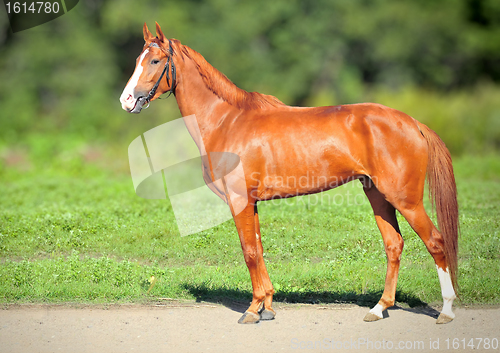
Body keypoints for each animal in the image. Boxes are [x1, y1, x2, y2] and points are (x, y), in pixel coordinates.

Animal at [120, 22, 458, 324]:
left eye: (155, 60)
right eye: (137, 60)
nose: (126, 100)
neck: (227, 121)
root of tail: (412, 123)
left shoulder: (240, 200)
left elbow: (249, 252)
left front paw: (252, 311)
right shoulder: (252, 203)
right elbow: (258, 249)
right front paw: (267, 306)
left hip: (406, 199)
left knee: (436, 241)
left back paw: (446, 310)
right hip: (378, 195)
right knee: (394, 245)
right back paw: (379, 308)